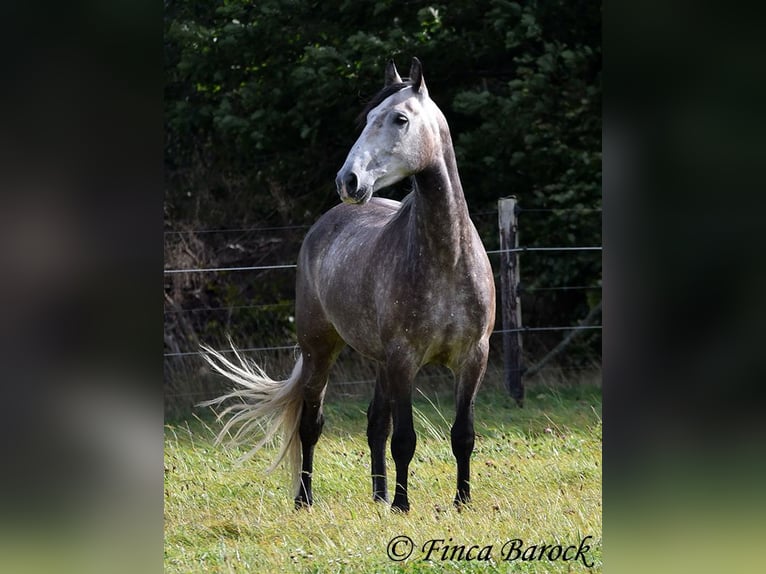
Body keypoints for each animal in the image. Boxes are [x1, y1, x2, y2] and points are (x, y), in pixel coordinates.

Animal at [201, 58, 496, 516]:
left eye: (399, 118)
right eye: (368, 117)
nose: (348, 180)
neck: (446, 258)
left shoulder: (472, 358)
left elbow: (461, 435)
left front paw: (462, 501)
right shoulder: (403, 360)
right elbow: (405, 439)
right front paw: (402, 506)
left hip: (377, 360)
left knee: (375, 423)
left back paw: (377, 495)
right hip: (320, 348)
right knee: (311, 423)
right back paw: (306, 498)